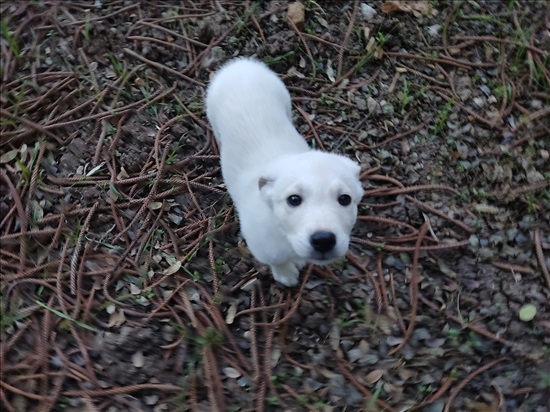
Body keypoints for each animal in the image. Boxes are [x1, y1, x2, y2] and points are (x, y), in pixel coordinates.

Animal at [205, 58, 364, 286]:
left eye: (345, 199)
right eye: (294, 199)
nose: (323, 240)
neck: (284, 233)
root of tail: (241, 64)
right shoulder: (264, 247)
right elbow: (277, 261)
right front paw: (286, 274)